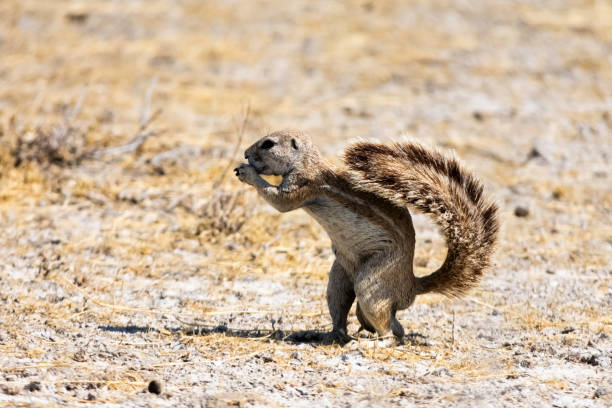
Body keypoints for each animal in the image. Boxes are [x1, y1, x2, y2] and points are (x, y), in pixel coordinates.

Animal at [233, 130, 498, 344]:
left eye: (268, 144)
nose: (245, 154)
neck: (307, 161)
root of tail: (411, 286)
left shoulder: (303, 184)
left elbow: (280, 202)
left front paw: (247, 173)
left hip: (372, 283)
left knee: (389, 332)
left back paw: (370, 343)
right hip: (338, 280)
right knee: (377, 323)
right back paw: (328, 334)